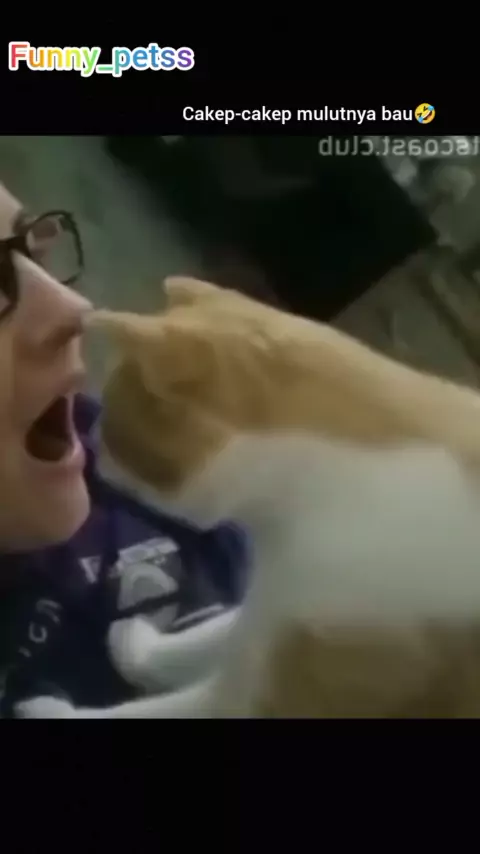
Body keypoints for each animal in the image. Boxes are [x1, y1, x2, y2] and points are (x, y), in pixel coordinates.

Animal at [18, 275, 480, 718]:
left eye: (114, 421)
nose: (91, 440)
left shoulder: (288, 692)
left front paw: (44, 709)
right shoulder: (271, 609)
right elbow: (206, 641)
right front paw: (141, 647)